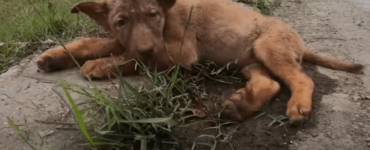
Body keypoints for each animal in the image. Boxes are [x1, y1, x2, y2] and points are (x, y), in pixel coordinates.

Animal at [36, 0, 362, 123]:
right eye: (121, 21)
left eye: (153, 14)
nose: (147, 46)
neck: (166, 18)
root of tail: (300, 40)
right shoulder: (132, 40)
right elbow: (98, 43)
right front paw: (54, 57)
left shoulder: (179, 52)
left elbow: (132, 57)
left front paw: (101, 65)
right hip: (249, 60)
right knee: (269, 83)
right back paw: (241, 105)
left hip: (269, 47)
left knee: (301, 78)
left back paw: (298, 106)